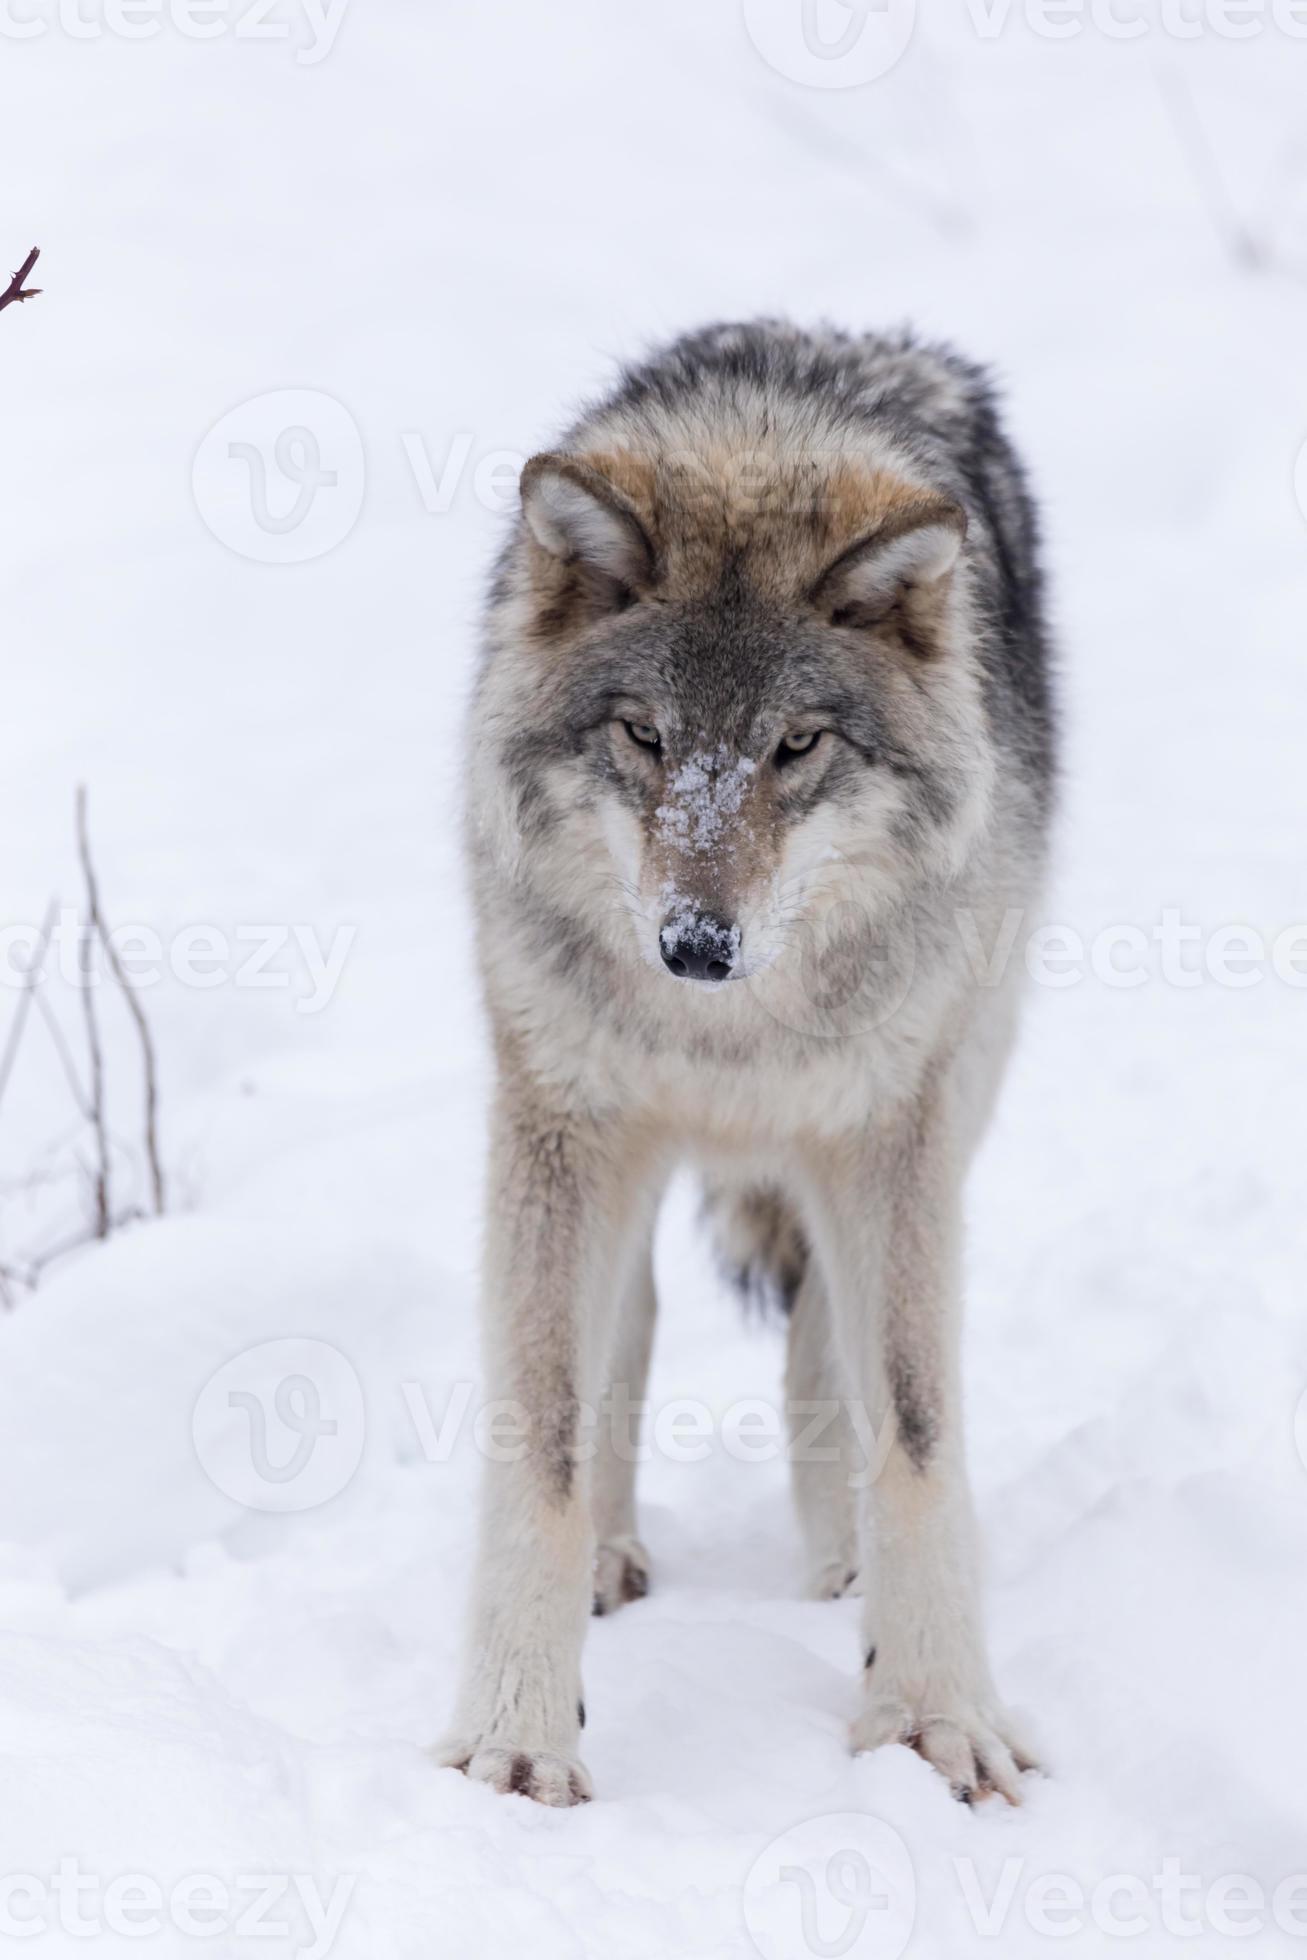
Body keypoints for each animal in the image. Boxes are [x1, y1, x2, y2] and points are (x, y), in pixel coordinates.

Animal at [444, 317, 1058, 1803]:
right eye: (644, 736)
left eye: (794, 746)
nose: (694, 945)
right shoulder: (556, 1122)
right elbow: (542, 1439)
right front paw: (514, 1739)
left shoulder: (891, 1133)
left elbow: (915, 1432)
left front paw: (934, 1715)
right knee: (631, 1328)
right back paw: (613, 1561)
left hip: (943, 1095)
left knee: (822, 1349)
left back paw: (841, 1574)